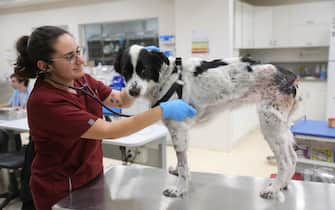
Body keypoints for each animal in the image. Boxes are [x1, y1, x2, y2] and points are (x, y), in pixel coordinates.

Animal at [114, 44, 300, 200]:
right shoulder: (181, 132)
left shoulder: (178, 130)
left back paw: (273, 189)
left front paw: (179, 189)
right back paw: (283, 184)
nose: (132, 91)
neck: (167, 79)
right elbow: (183, 163)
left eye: (144, 70)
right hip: (281, 126)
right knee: (293, 157)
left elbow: (183, 165)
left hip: (270, 124)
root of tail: (289, 74)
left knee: (285, 162)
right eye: (126, 72)